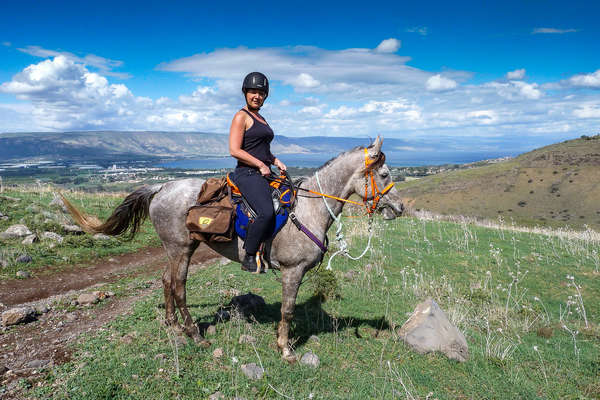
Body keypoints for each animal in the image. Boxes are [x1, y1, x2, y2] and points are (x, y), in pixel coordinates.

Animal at [61, 136, 400, 360]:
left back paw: (172, 325)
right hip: (181, 249)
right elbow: (288, 310)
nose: (399, 208)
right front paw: (285, 349)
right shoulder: (293, 271)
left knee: (166, 280)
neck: (308, 210)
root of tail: (162, 186)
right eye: (384, 174)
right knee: (179, 286)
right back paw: (194, 335)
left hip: (175, 249)